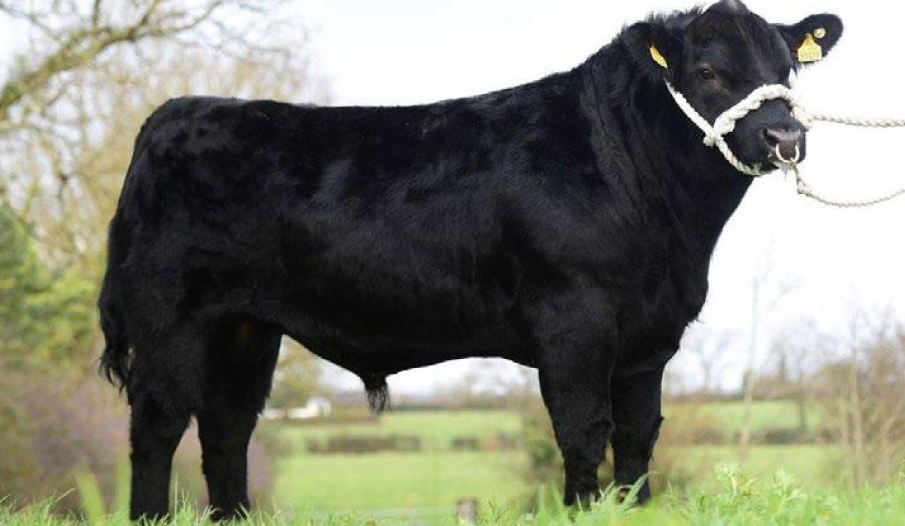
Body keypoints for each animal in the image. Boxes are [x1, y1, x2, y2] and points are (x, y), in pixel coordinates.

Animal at [98, 0, 842, 520]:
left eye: (787, 70)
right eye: (709, 71)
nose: (784, 135)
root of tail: (175, 113)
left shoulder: (649, 337)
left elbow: (636, 438)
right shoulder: (574, 322)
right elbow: (581, 431)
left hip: (245, 328)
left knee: (226, 429)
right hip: (170, 317)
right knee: (157, 424)